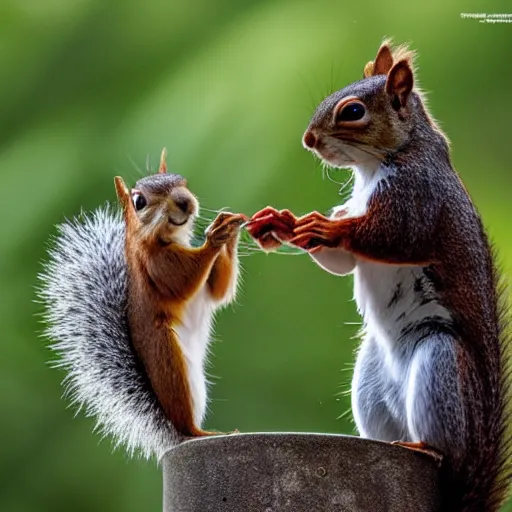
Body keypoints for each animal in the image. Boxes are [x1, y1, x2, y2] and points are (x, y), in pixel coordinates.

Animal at [38, 150, 246, 458]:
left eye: (182, 181)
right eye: (139, 202)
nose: (184, 201)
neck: (167, 237)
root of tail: (172, 432)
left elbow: (218, 291)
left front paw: (229, 227)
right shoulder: (155, 266)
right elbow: (182, 280)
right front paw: (214, 237)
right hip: (171, 364)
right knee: (187, 426)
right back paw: (204, 433)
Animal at [246, 41, 510, 512]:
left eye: (353, 111)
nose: (308, 140)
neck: (377, 164)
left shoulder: (417, 198)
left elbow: (391, 237)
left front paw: (328, 227)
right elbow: (343, 262)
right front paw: (283, 222)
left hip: (441, 362)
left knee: (444, 447)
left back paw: (427, 447)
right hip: (369, 383)